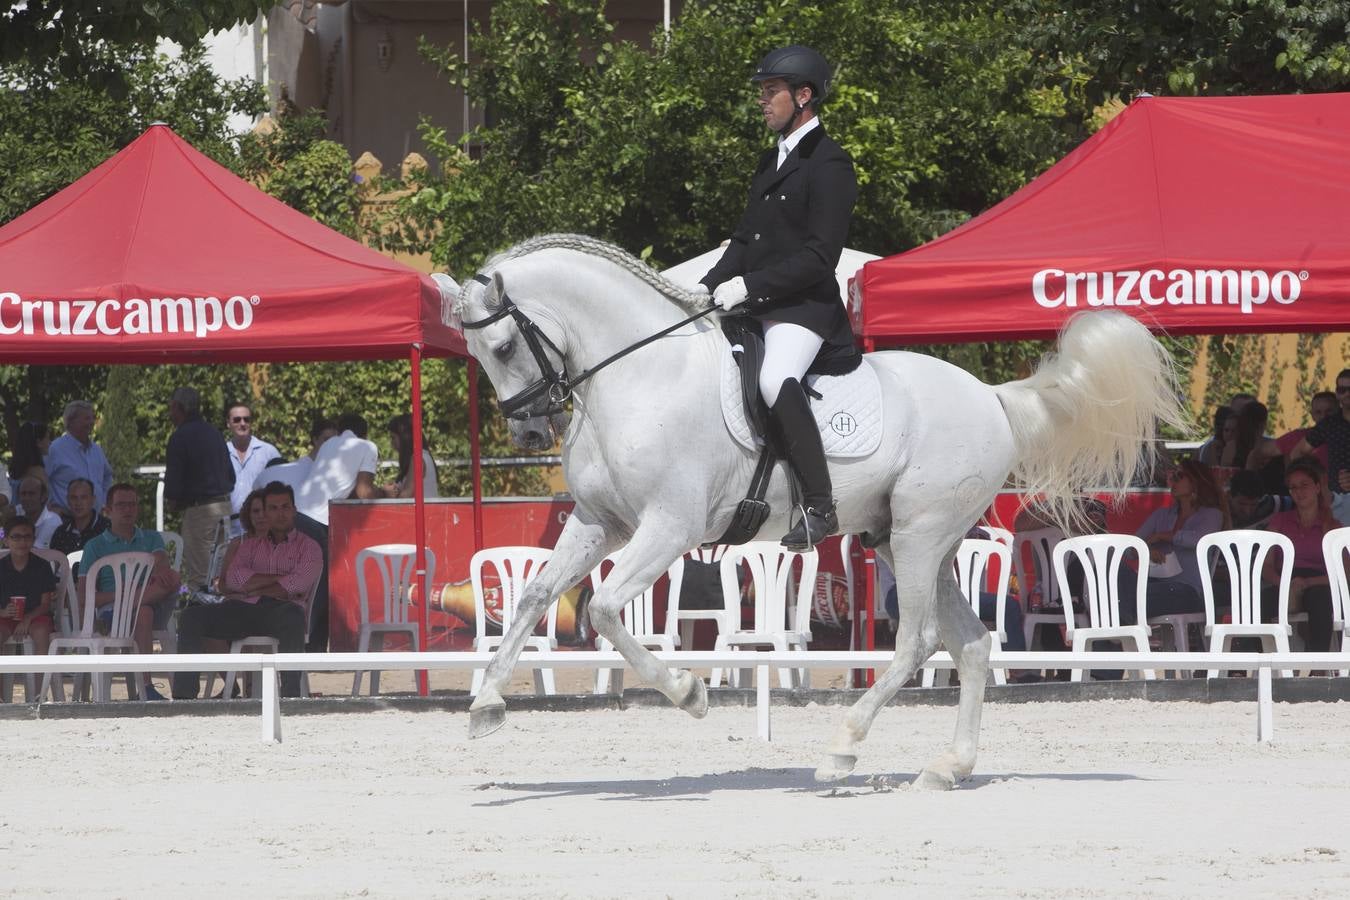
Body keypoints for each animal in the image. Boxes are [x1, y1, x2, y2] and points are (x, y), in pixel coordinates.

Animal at [437, 232, 1188, 788]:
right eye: (477, 353)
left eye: (502, 346)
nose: (528, 434)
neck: (639, 376)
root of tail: (993, 397)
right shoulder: (601, 523)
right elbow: (537, 594)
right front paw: (486, 704)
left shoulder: (668, 528)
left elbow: (600, 608)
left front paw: (688, 692)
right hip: (908, 540)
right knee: (971, 643)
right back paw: (948, 767)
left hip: (918, 536)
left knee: (917, 642)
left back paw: (844, 749)